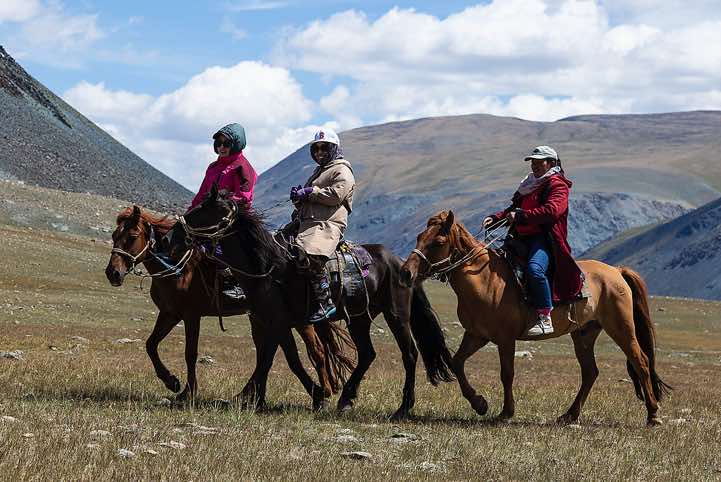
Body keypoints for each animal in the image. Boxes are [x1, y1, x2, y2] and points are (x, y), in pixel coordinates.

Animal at [105, 205, 345, 410]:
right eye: (114, 236)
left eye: (132, 237)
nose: (112, 273)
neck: (178, 268)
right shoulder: (170, 314)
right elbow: (151, 345)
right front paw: (171, 381)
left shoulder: (191, 315)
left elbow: (190, 353)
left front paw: (187, 392)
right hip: (261, 318)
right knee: (267, 352)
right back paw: (257, 397)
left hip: (295, 320)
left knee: (316, 350)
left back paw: (324, 392)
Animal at [169, 185, 456, 419]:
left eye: (202, 210)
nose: (172, 237)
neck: (268, 267)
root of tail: (401, 263)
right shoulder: (272, 322)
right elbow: (274, 359)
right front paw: (255, 398)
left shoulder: (278, 322)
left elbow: (280, 360)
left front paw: (314, 395)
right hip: (359, 318)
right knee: (367, 354)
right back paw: (346, 398)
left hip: (396, 315)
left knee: (409, 354)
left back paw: (403, 407)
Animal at [399, 210, 671, 426]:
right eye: (419, 237)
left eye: (438, 241)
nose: (405, 273)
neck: (484, 280)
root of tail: (617, 271)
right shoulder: (477, 335)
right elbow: (457, 363)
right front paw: (480, 403)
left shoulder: (505, 339)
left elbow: (506, 373)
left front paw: (505, 412)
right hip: (584, 334)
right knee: (590, 372)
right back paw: (569, 415)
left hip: (620, 327)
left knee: (640, 361)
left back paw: (653, 414)